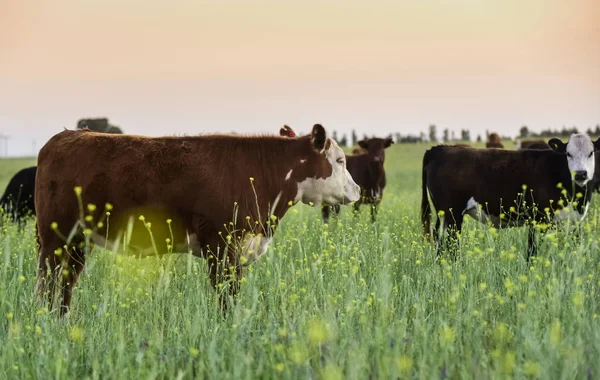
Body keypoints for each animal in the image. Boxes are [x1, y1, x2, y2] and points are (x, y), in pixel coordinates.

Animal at [36, 124, 360, 314]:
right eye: (340, 160)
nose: (357, 190)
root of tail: (67, 134)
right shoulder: (221, 246)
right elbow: (226, 295)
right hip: (56, 238)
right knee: (48, 284)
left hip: (77, 243)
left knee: (65, 283)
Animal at [422, 132, 600, 260]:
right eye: (568, 154)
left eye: (591, 153)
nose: (581, 174)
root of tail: (440, 149)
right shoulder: (537, 219)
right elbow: (532, 252)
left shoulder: (575, 223)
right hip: (453, 215)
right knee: (451, 245)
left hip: (444, 216)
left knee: (439, 241)